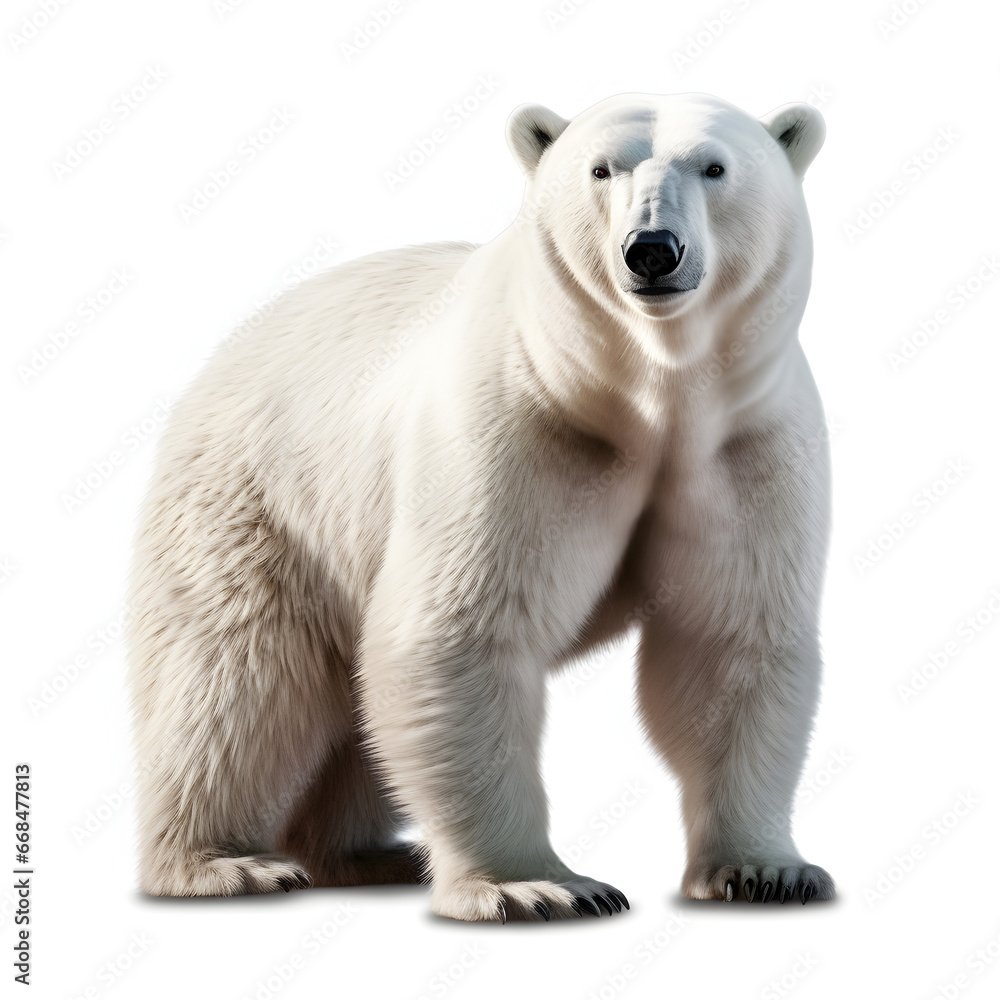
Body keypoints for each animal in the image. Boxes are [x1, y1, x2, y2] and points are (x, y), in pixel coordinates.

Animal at [126, 90, 834, 921]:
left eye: (714, 167)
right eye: (601, 169)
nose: (652, 250)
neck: (646, 398)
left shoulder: (742, 449)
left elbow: (729, 643)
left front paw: (765, 871)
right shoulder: (515, 429)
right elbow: (460, 635)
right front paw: (537, 886)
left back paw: (366, 854)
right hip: (252, 504)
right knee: (237, 677)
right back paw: (226, 863)